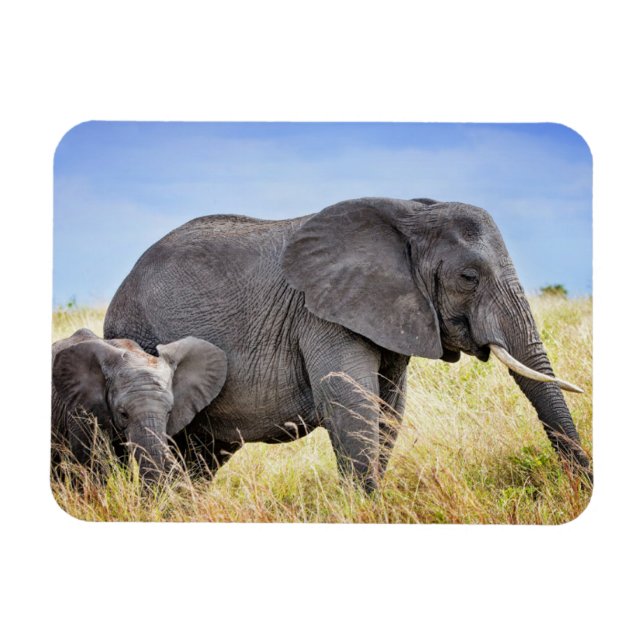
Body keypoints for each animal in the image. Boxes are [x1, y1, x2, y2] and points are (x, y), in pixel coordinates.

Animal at [103, 197, 591, 491]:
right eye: (469, 277)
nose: (580, 488)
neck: (410, 214)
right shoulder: (321, 314)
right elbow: (349, 401)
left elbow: (389, 409)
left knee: (202, 456)